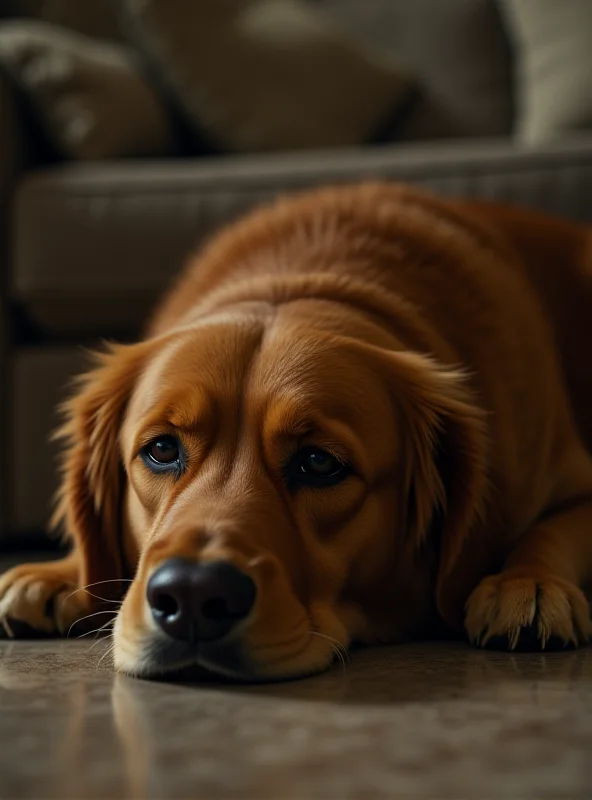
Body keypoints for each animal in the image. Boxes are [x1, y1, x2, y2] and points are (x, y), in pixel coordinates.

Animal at [1, 183, 592, 680]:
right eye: (162, 450)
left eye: (319, 462)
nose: (192, 595)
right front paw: (59, 574)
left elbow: (551, 531)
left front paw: (527, 583)